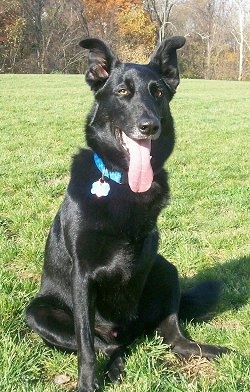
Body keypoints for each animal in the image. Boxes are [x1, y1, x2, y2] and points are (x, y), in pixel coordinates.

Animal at [25, 36, 229, 388]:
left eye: (158, 93)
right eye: (122, 91)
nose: (150, 126)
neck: (121, 184)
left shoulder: (146, 258)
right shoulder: (83, 276)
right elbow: (86, 343)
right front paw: (87, 384)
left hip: (166, 269)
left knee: (171, 338)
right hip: (37, 312)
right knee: (106, 344)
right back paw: (114, 365)